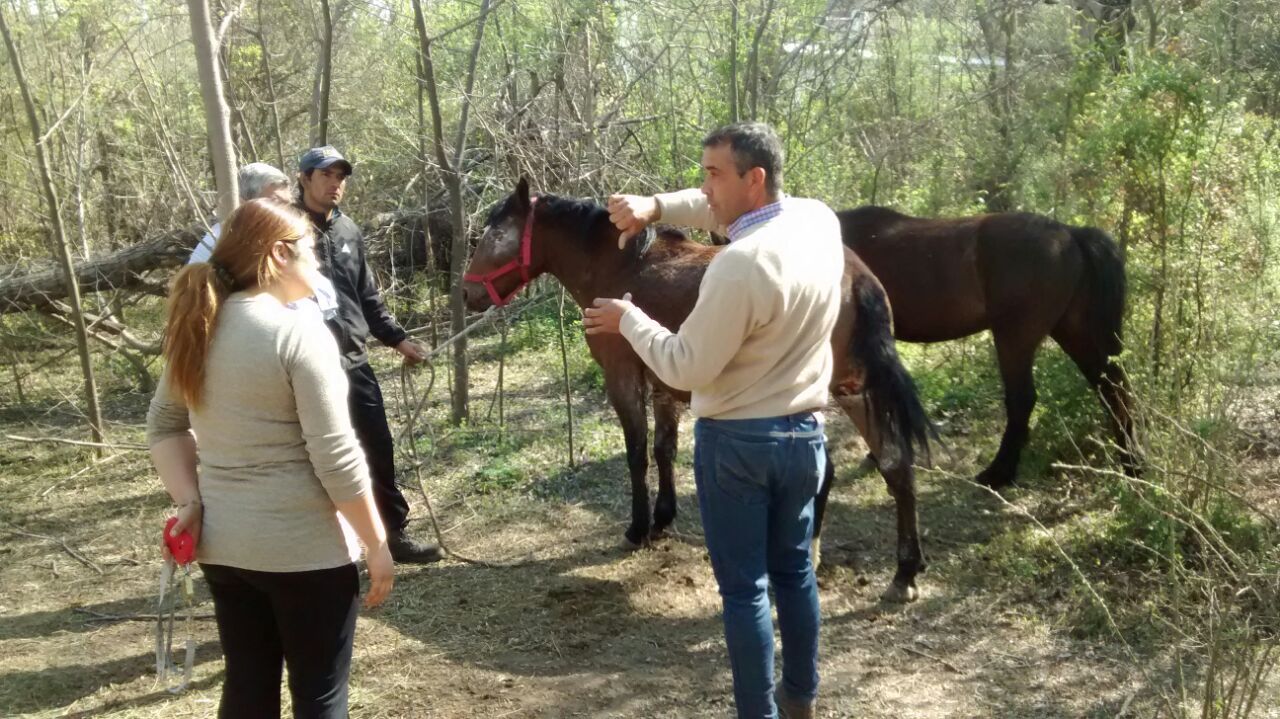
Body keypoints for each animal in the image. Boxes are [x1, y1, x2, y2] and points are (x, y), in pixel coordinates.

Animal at [465, 180, 936, 598]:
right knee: (895, 464)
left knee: (830, 469)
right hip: (856, 390)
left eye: (495, 234)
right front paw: (662, 518)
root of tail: (857, 278)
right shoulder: (662, 383)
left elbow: (637, 453)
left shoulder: (622, 377)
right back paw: (904, 571)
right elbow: (663, 449)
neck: (619, 267)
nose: (467, 293)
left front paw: (638, 528)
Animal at [844, 207, 1136, 486]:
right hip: (1074, 332)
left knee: (1023, 400)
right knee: (1113, 389)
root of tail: (1070, 233)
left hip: (1015, 339)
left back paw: (998, 473)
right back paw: (1132, 464)